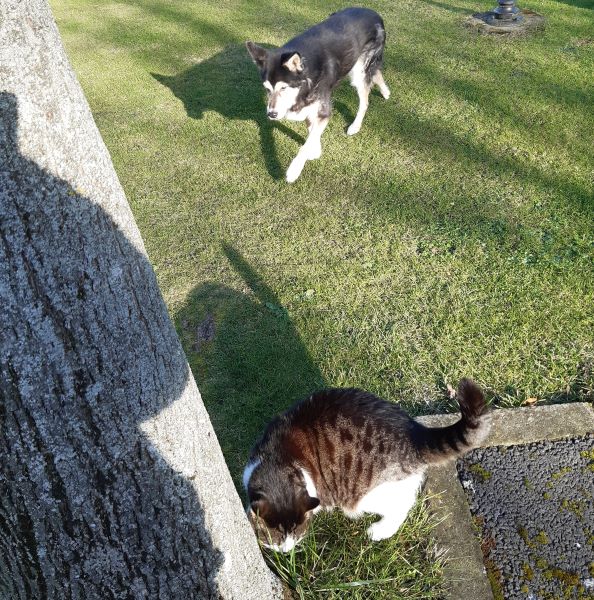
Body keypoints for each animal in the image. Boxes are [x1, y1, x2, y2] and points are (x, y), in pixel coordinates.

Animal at [243, 380, 488, 548]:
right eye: (276, 538)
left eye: (295, 534)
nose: (286, 550)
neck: (278, 458)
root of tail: (415, 433)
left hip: (365, 495)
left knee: (402, 505)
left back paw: (380, 530)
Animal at [245, 7, 388, 183]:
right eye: (266, 89)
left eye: (283, 88)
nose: (271, 114)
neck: (308, 72)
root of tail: (374, 12)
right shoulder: (310, 108)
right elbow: (311, 132)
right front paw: (316, 150)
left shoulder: (323, 109)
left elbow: (307, 142)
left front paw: (294, 169)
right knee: (376, 73)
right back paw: (386, 91)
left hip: (359, 71)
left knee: (365, 98)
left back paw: (355, 126)